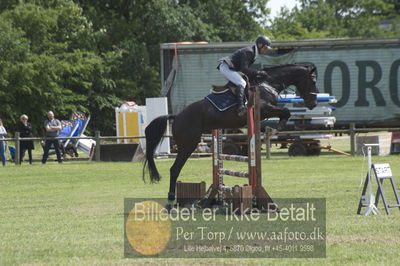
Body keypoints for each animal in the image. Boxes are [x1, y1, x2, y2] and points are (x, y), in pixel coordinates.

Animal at [142, 63, 318, 207]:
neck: (267, 83)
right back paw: (170, 202)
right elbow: (286, 111)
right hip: (188, 145)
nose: (313, 104)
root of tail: (177, 116)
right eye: (313, 81)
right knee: (174, 169)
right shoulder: (264, 108)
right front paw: (277, 129)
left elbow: (284, 113)